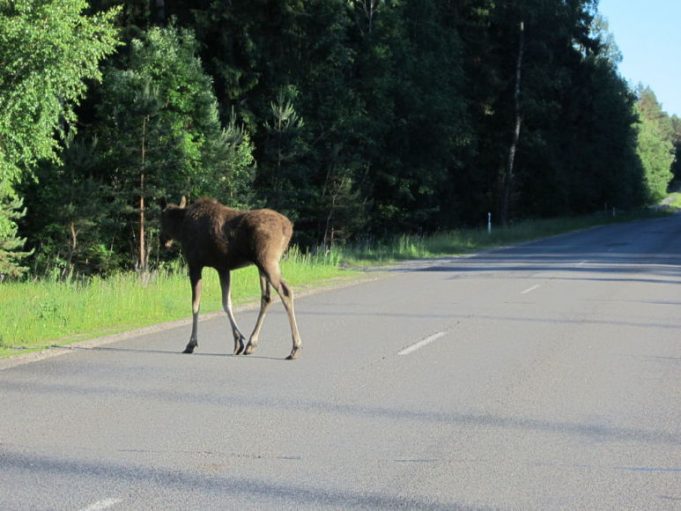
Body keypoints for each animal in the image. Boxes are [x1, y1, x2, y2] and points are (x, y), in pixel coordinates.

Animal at [161, 196, 302, 360]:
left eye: (160, 219)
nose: (162, 241)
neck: (180, 227)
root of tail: (288, 228)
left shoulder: (195, 264)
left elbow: (196, 304)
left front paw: (191, 343)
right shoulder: (223, 268)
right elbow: (226, 303)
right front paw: (238, 341)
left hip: (267, 261)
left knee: (285, 292)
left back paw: (295, 347)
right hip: (262, 265)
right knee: (266, 297)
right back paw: (251, 343)